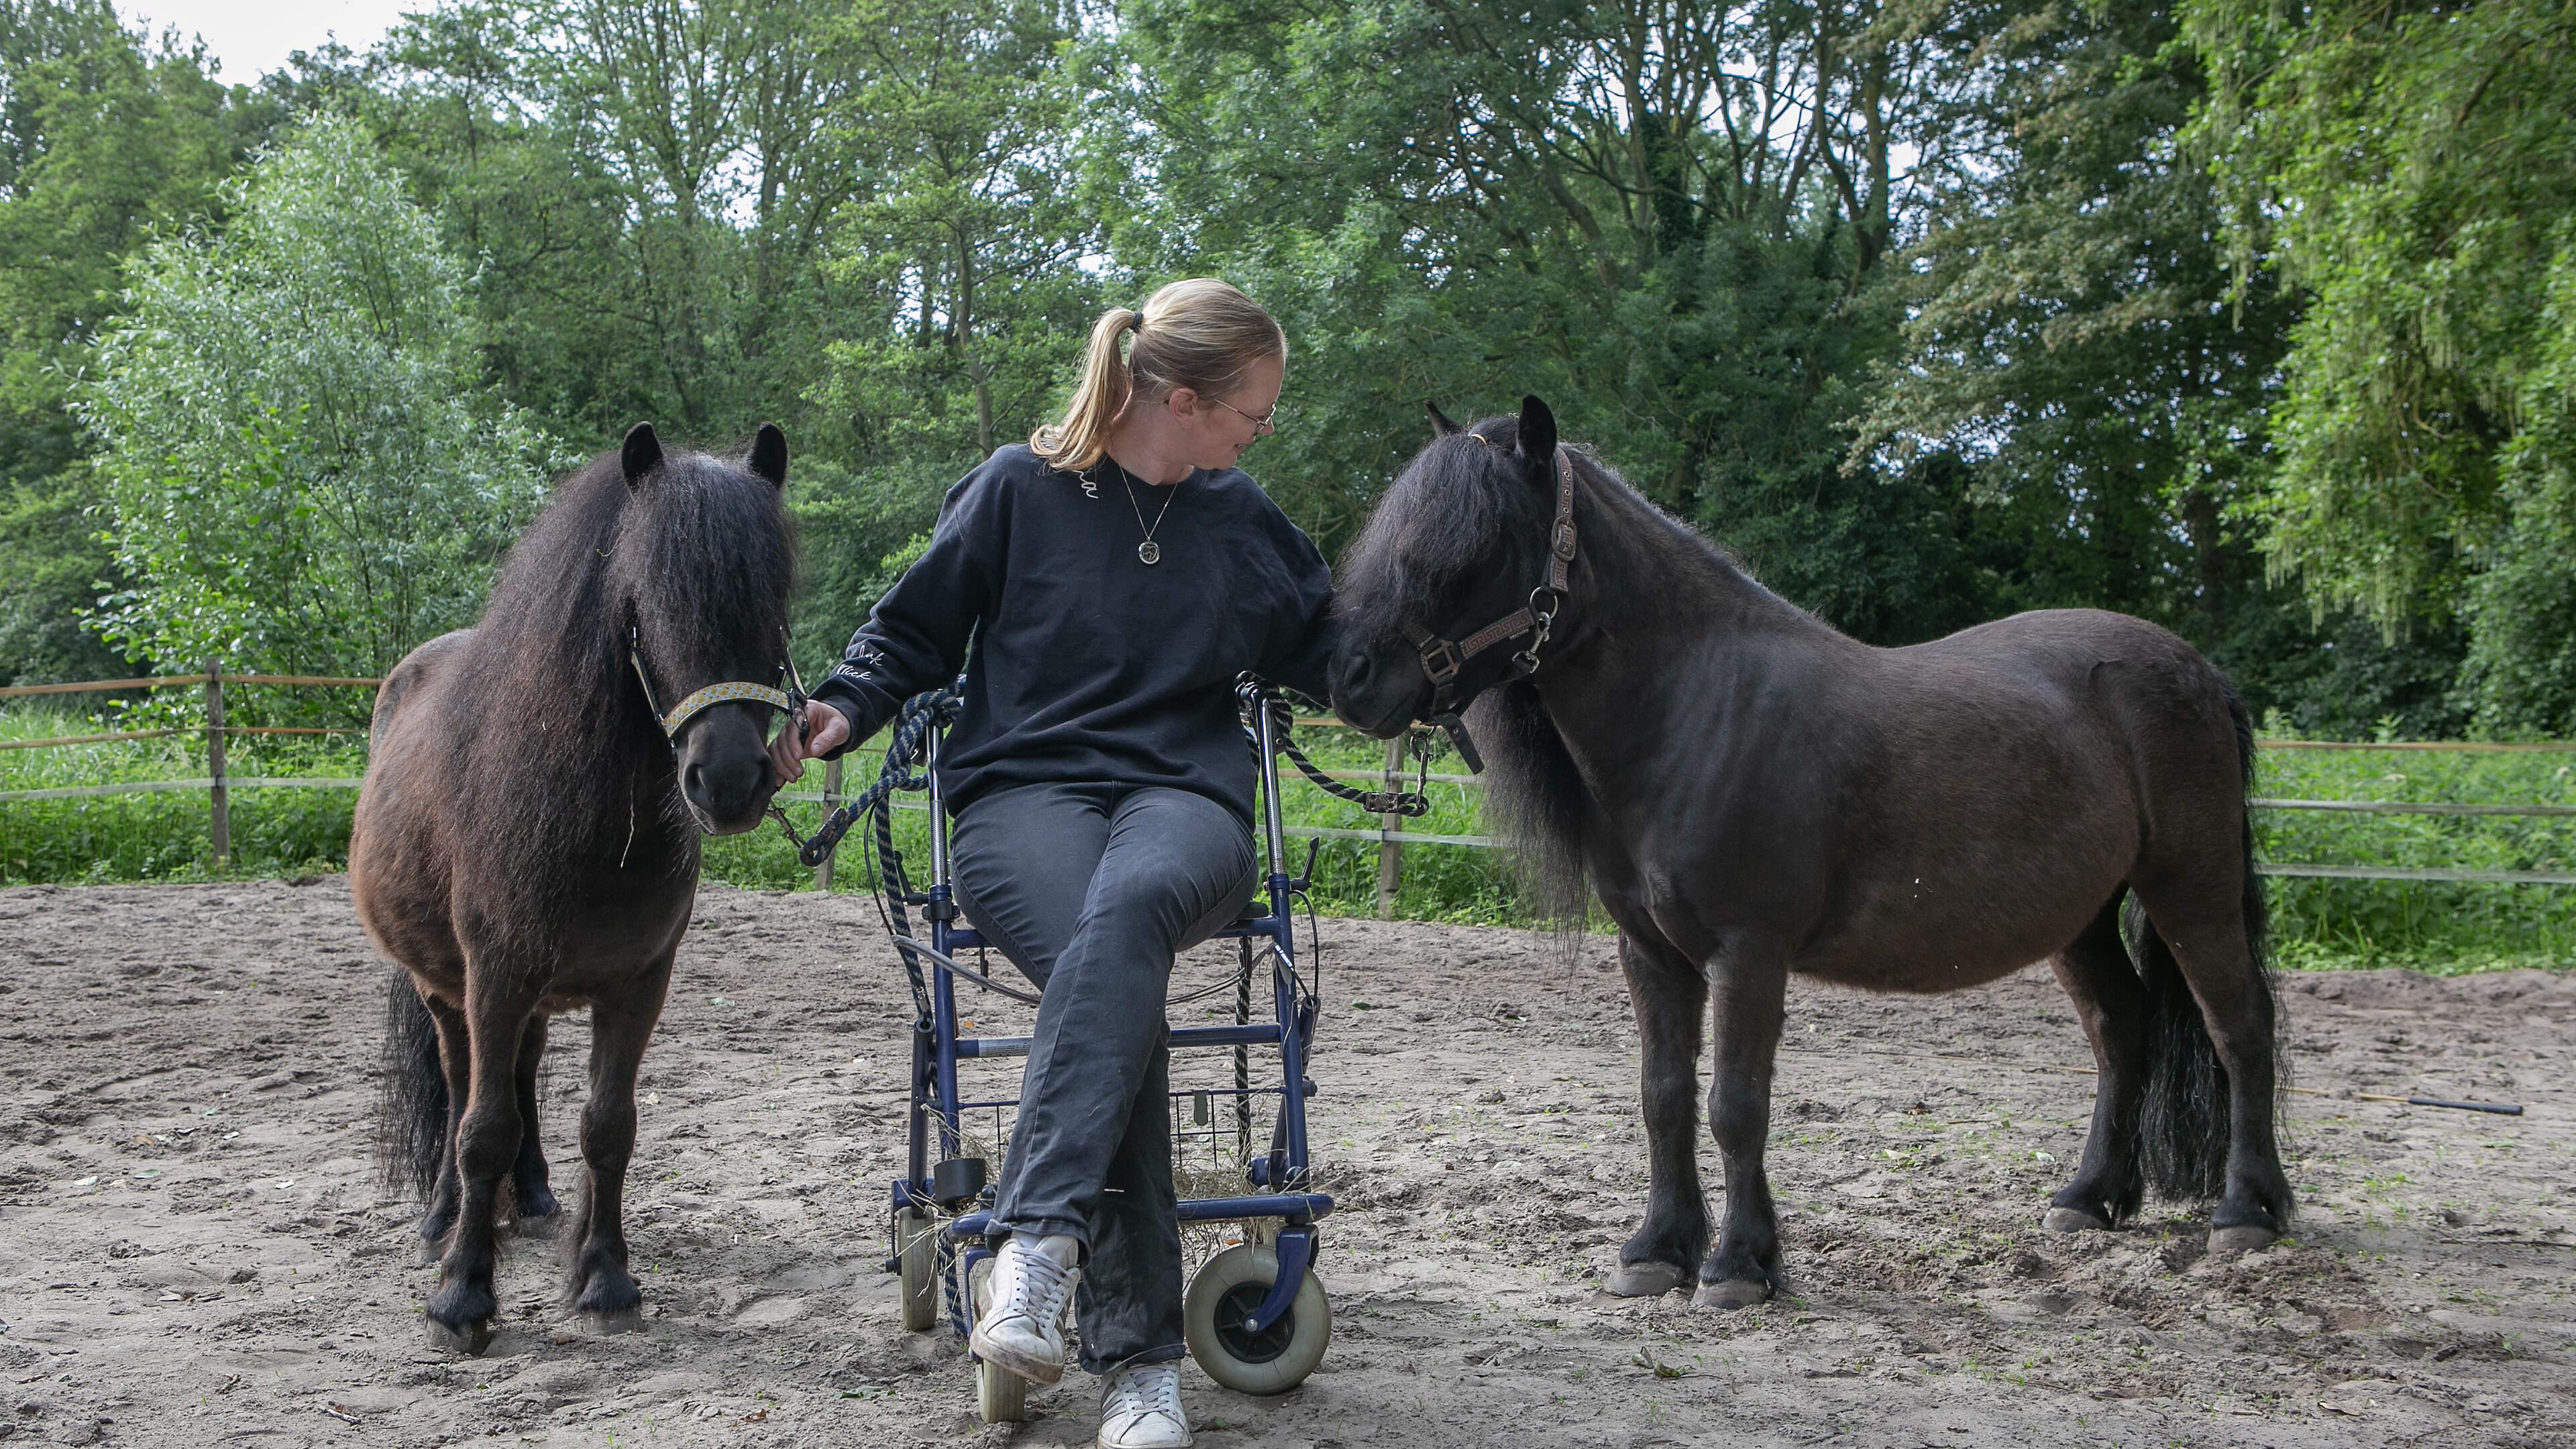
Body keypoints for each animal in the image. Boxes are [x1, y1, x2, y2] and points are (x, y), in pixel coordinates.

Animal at [352, 422, 798, 1353]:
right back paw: (445, 1219)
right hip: (446, 988)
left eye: (773, 594)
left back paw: (532, 1197)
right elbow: (481, 1129)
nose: (729, 781)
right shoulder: (494, 975)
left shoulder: (638, 984)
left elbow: (608, 1126)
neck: (590, 823)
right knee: (459, 1087)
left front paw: (604, 1277)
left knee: (519, 1073)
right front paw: (463, 1296)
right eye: (647, 601)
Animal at [1327, 396, 2291, 1309]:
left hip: (2190, 887)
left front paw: (1737, 1267)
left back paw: (2247, 1211)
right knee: (2120, 1029)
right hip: (2082, 917)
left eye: (1476, 542)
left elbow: (1736, 1107)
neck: (1697, 711)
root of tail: (2200, 672)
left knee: (2240, 1026)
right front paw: (1657, 1252)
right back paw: (2090, 1198)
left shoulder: (1748, 954)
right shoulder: (1651, 953)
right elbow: (1664, 1098)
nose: (1348, 675)